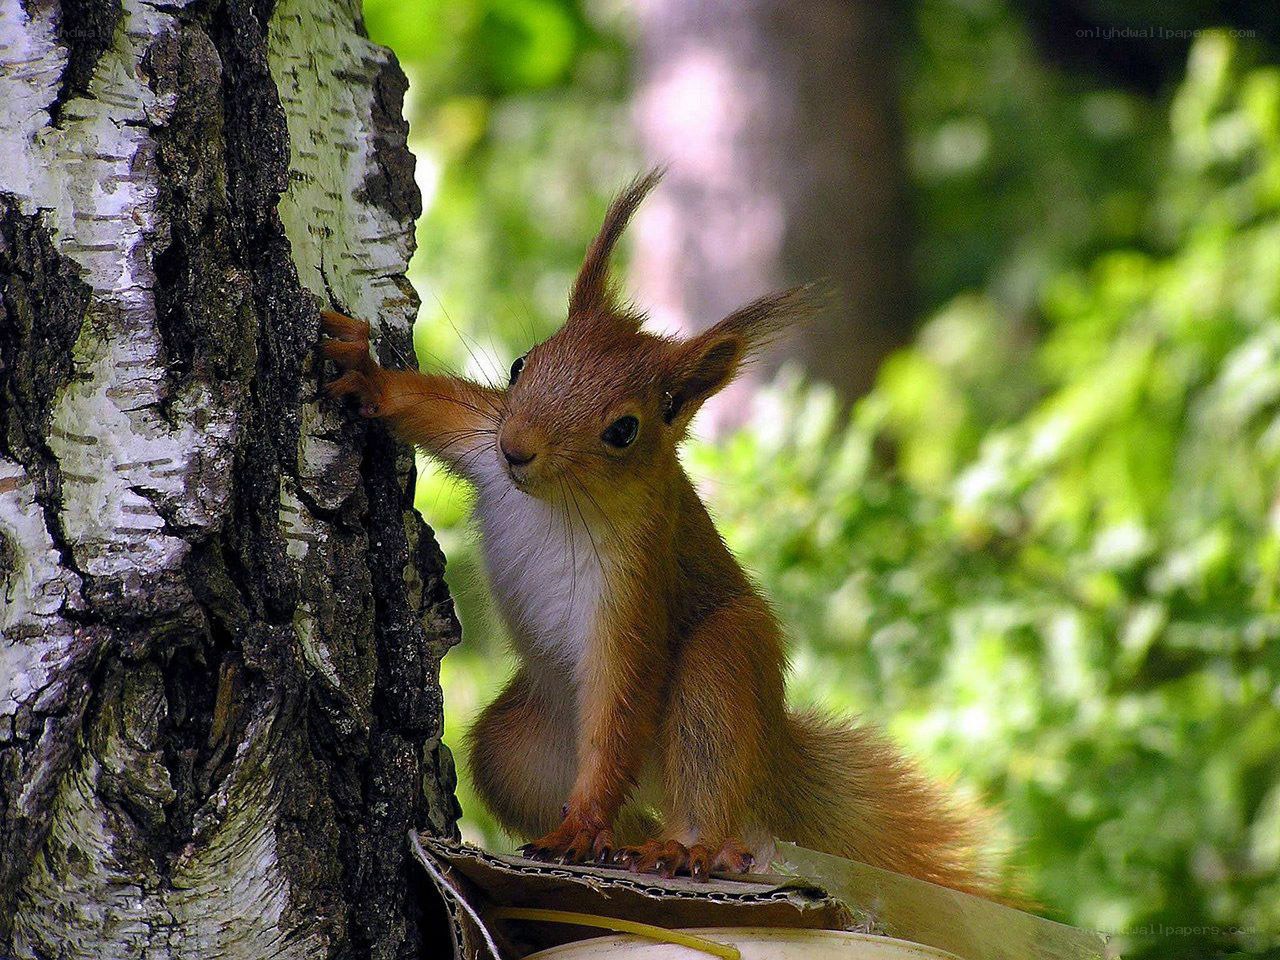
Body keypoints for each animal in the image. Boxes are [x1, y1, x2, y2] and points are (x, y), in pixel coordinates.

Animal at [322, 171, 999, 896]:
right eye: (521, 365)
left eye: (624, 430)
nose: (517, 450)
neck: (556, 502)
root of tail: (771, 758)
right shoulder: (482, 438)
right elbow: (432, 406)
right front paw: (366, 374)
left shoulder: (638, 580)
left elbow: (620, 701)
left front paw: (582, 822)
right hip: (519, 749)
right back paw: (621, 846)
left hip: (722, 668)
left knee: (704, 776)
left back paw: (687, 848)